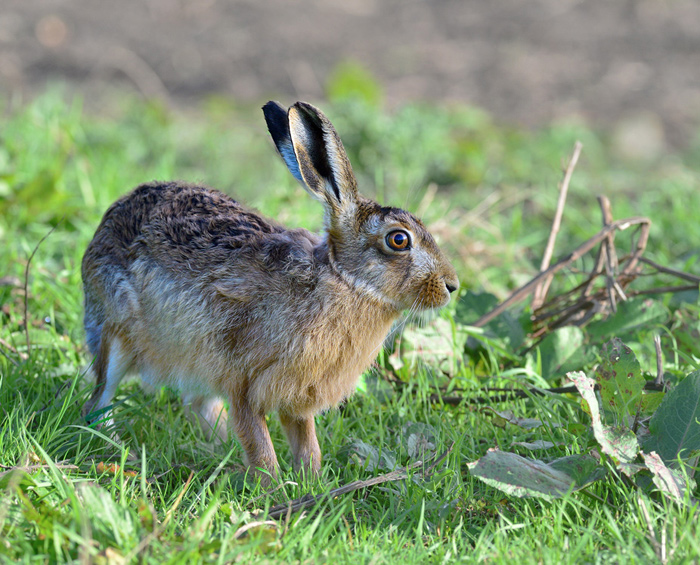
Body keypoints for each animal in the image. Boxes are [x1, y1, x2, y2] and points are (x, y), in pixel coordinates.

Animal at [81, 100, 459, 480]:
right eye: (398, 240)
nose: (451, 286)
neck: (343, 281)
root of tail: (108, 221)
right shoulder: (244, 382)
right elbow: (259, 442)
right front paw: (272, 486)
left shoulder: (298, 396)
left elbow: (307, 442)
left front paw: (312, 481)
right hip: (117, 335)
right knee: (98, 398)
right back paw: (119, 450)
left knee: (198, 404)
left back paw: (218, 453)